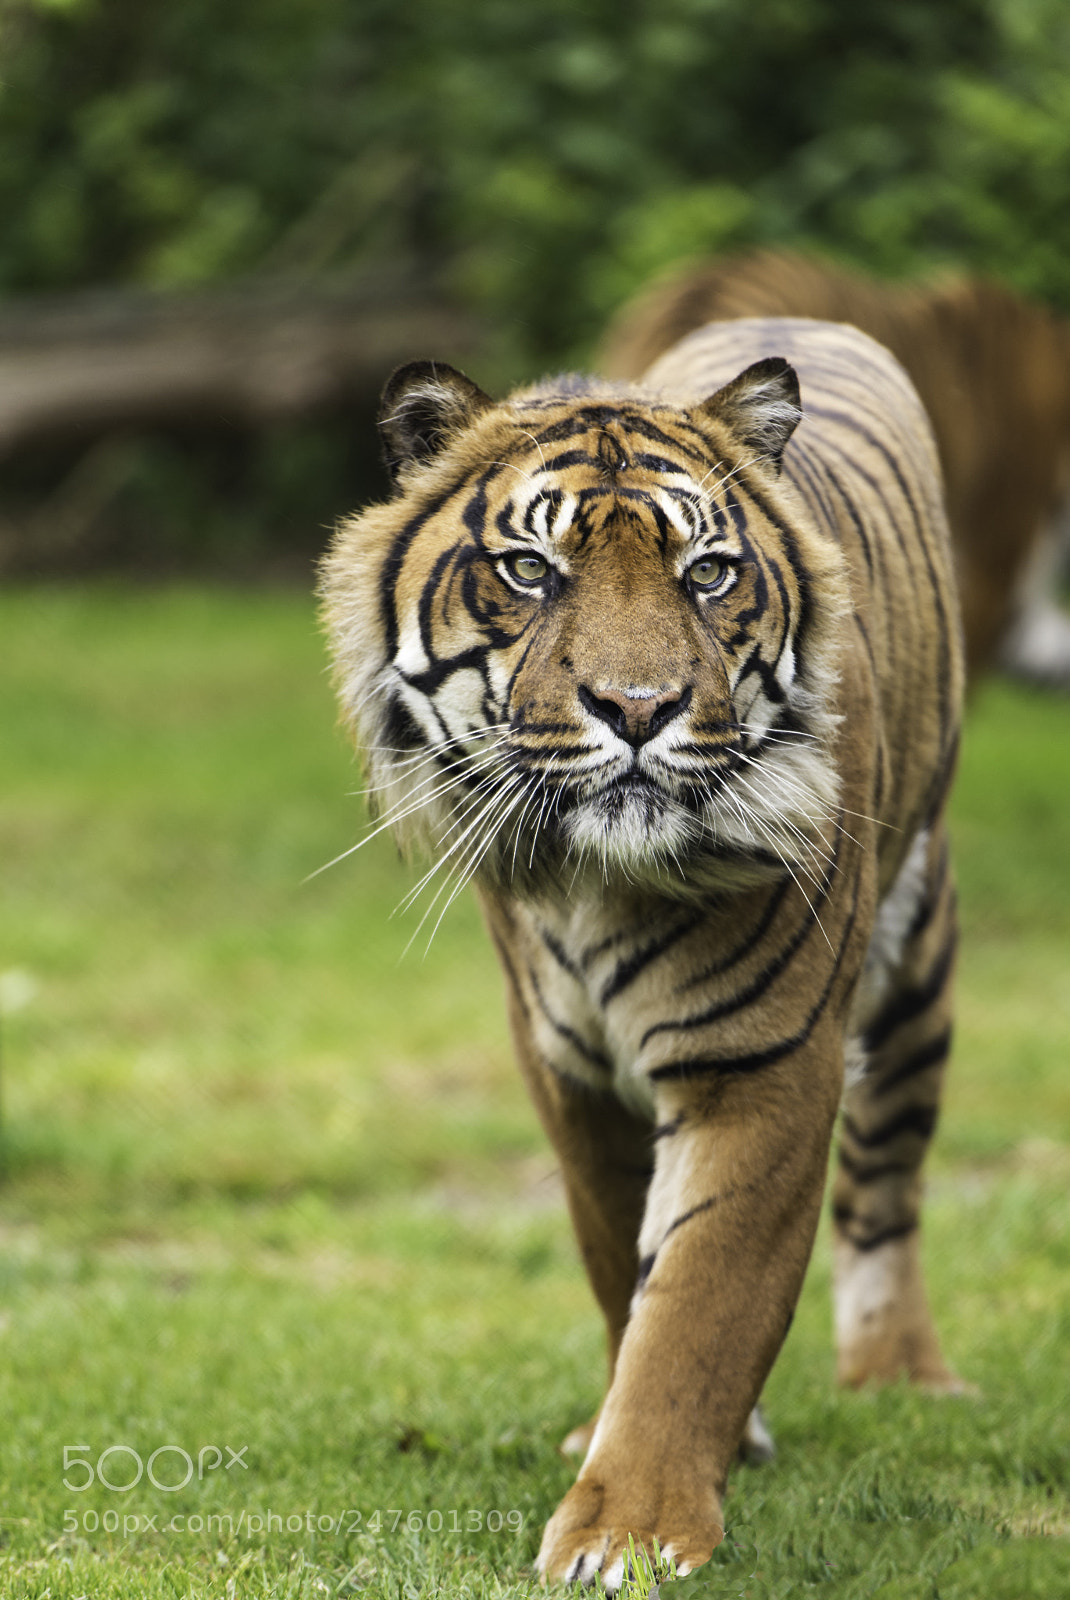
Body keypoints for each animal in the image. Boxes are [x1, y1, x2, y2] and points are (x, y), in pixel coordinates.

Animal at [320, 315, 966, 1589]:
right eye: (531, 571)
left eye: (704, 572)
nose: (636, 707)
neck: (593, 886)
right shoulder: (565, 1067)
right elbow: (624, 1263)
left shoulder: (760, 1062)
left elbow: (697, 1306)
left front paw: (627, 1531)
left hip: (915, 960)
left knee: (887, 1186)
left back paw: (902, 1376)